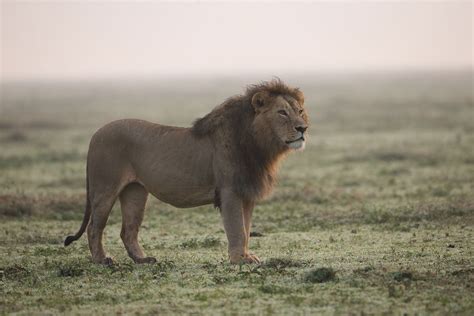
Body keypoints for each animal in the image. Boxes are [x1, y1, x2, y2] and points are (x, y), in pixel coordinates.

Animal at [65, 78, 310, 264]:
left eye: (300, 111)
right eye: (282, 112)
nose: (303, 128)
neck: (258, 144)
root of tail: (95, 135)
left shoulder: (246, 193)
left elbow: (246, 229)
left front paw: (246, 256)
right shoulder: (229, 191)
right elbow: (237, 229)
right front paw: (239, 260)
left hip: (135, 192)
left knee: (128, 230)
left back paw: (143, 260)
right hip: (105, 188)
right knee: (94, 227)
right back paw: (102, 260)